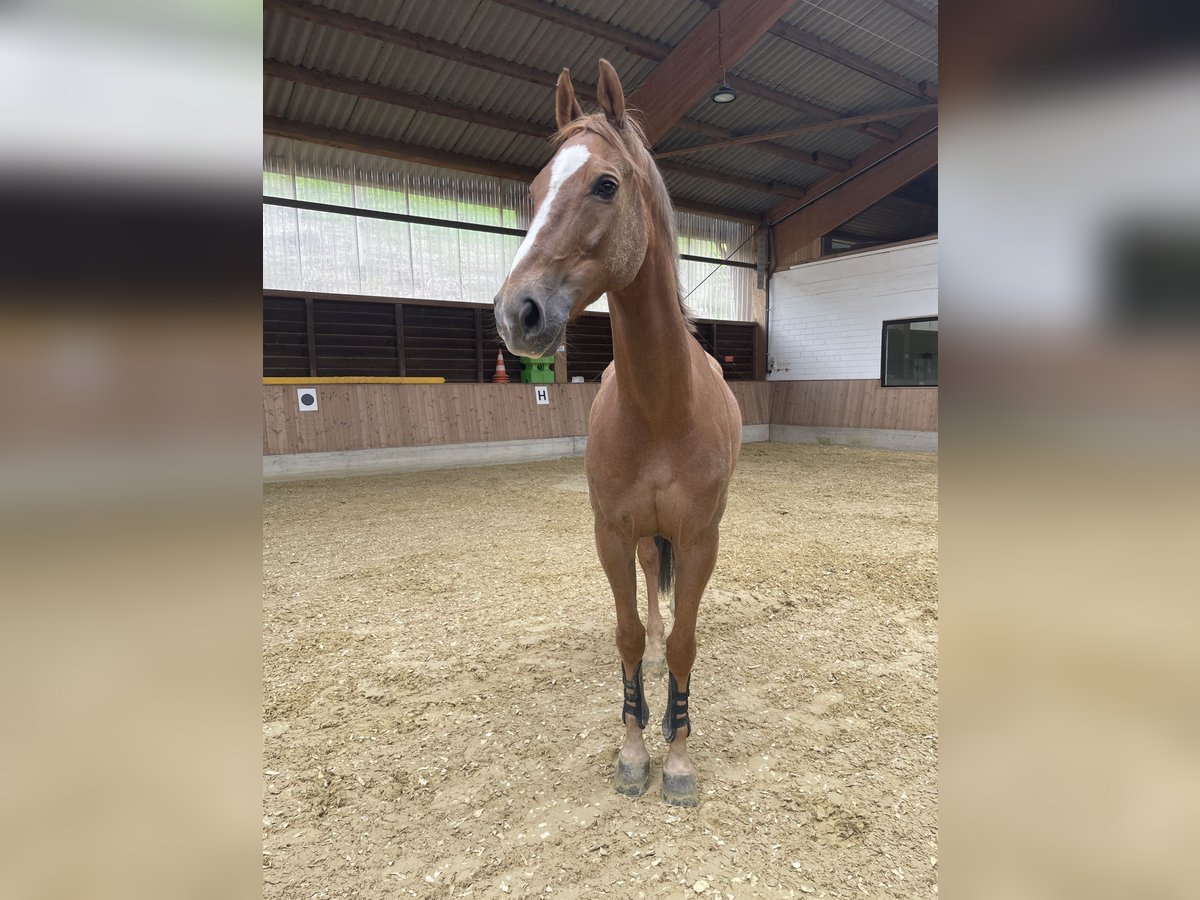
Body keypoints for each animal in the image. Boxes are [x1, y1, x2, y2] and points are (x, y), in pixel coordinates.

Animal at [493, 59, 741, 807]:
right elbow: (630, 635)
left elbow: (686, 642)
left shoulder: (699, 538)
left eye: (605, 184)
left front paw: (678, 756)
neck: (661, 409)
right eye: (536, 189)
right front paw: (634, 747)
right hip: (637, 536)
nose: (516, 312)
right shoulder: (610, 533)